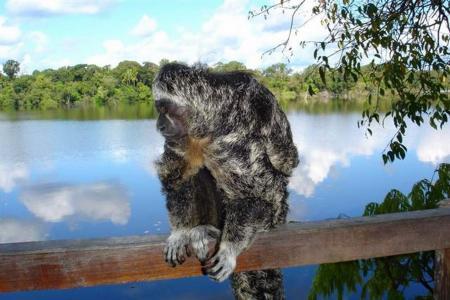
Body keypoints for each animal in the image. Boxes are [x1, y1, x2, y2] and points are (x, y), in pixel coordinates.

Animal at [154, 62, 298, 298]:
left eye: (165, 111)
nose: (159, 125)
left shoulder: (230, 140)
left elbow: (255, 194)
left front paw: (229, 247)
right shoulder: (180, 140)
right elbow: (177, 178)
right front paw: (180, 231)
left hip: (276, 215)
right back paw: (204, 229)